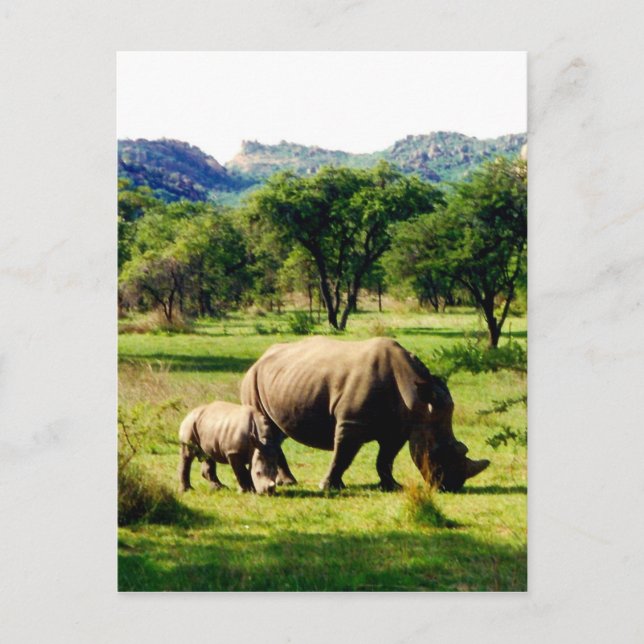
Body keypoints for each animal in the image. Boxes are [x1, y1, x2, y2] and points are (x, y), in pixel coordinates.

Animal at [240, 336, 489, 492]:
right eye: (438, 451)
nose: (453, 485)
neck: (417, 399)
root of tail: (259, 359)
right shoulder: (351, 423)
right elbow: (343, 456)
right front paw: (328, 487)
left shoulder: (398, 428)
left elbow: (385, 459)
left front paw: (392, 486)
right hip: (252, 379)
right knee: (267, 428)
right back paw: (290, 483)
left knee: (278, 432)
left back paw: (288, 481)